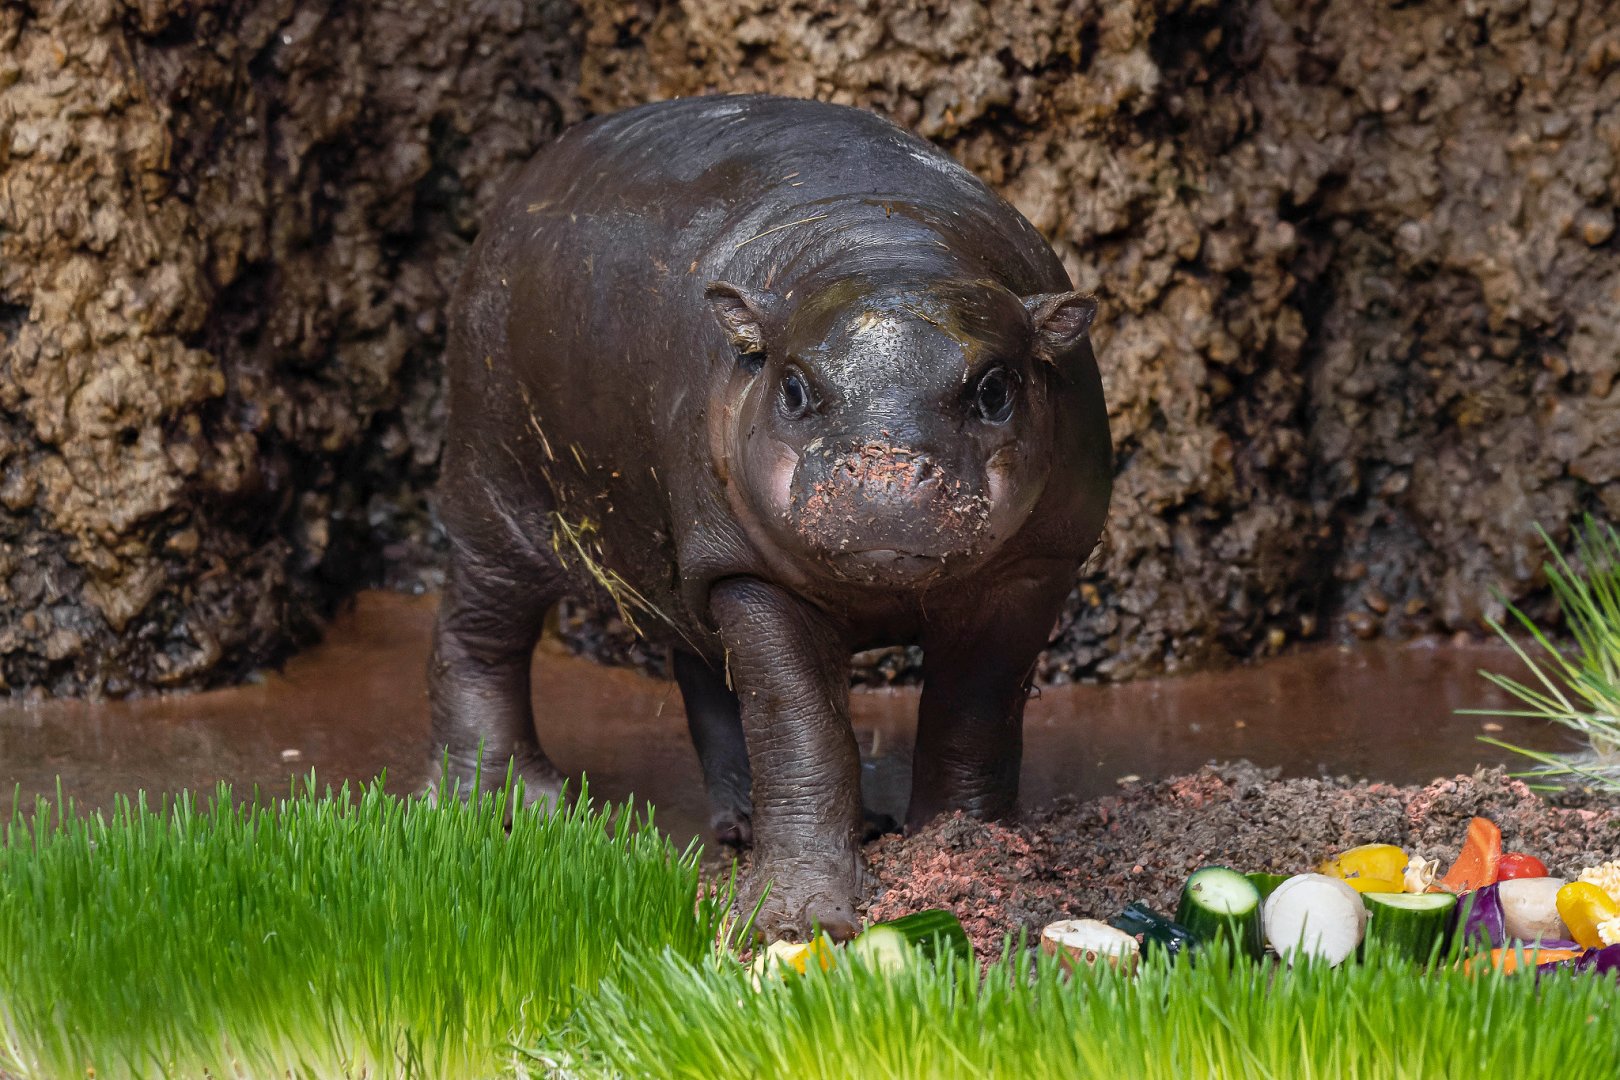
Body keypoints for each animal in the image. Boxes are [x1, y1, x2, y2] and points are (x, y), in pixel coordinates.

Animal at [430, 94, 1111, 940]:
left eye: (994, 387)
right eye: (793, 386)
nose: (885, 480)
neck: (888, 245)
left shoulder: (1035, 566)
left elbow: (974, 710)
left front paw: (962, 848)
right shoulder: (749, 572)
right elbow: (800, 726)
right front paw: (796, 920)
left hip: (677, 551)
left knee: (702, 671)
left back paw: (742, 824)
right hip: (495, 486)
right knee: (479, 637)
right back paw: (513, 806)